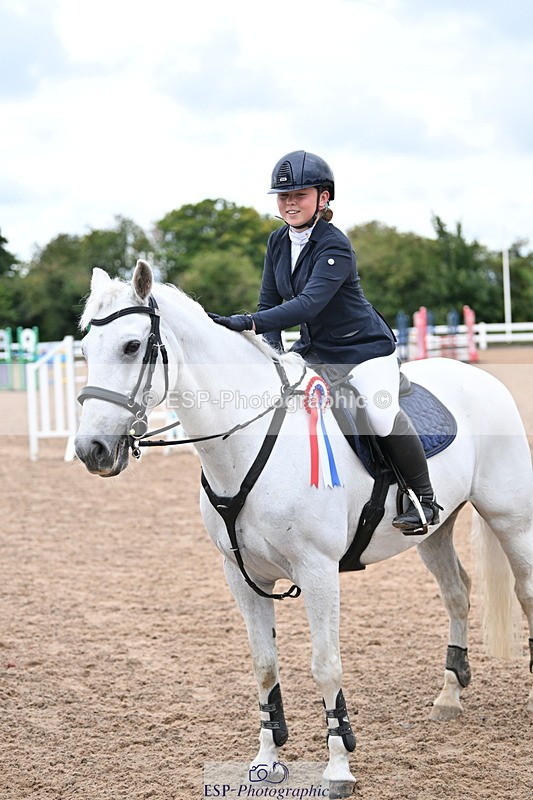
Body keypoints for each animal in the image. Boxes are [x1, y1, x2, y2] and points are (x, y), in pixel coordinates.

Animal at [74, 260, 533, 798]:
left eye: (131, 346)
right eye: (84, 350)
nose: (91, 450)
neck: (246, 440)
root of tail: (478, 376)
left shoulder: (318, 571)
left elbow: (325, 665)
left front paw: (338, 767)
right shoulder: (241, 576)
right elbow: (264, 665)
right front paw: (266, 760)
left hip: (510, 519)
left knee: (524, 590)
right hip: (434, 531)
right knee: (458, 592)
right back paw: (448, 696)